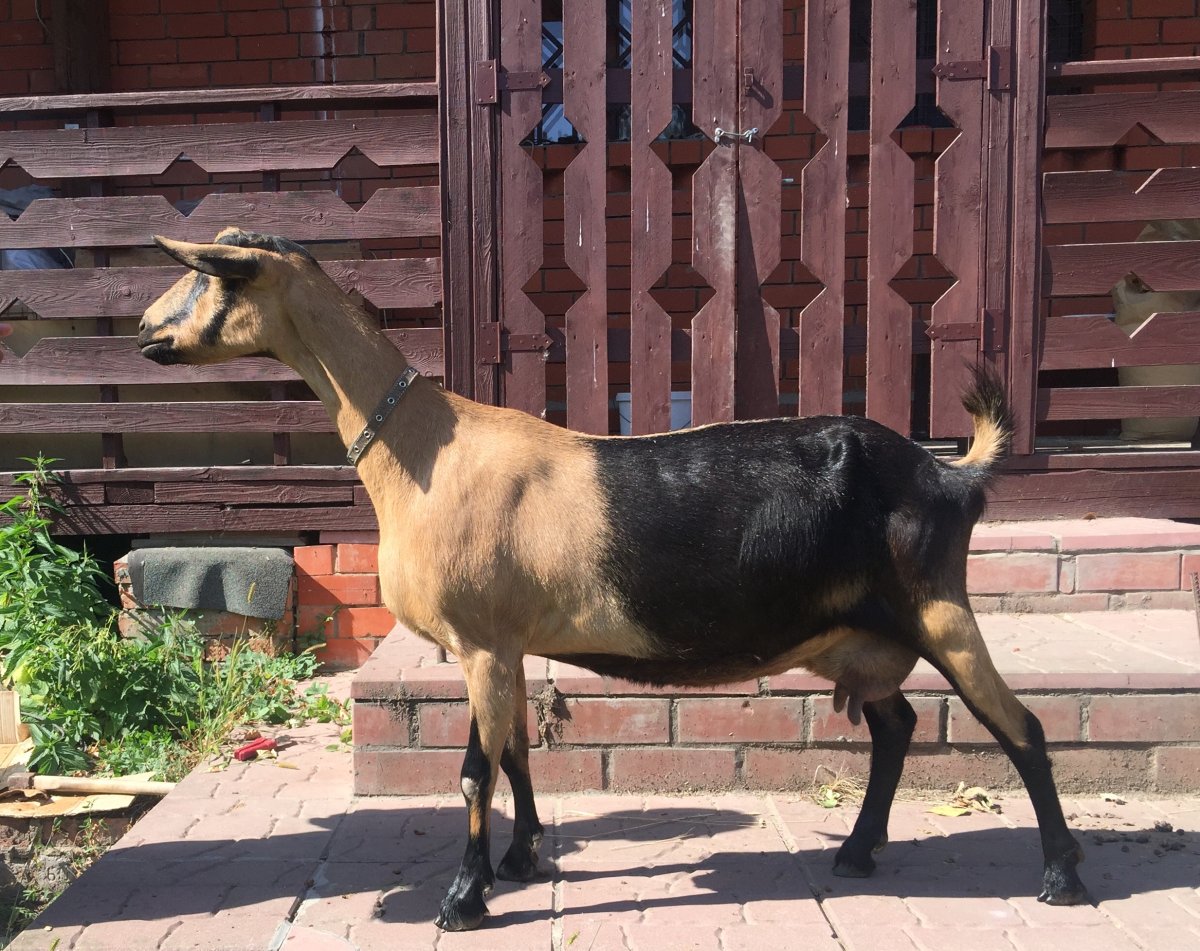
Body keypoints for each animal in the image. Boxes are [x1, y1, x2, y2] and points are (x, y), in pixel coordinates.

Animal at [139, 228, 1089, 931]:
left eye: (212, 277)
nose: (145, 332)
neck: (424, 451)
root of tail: (950, 473)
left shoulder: (481, 642)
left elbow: (474, 772)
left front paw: (464, 898)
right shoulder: (506, 646)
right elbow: (517, 751)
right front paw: (521, 858)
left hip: (940, 608)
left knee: (1022, 728)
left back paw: (1062, 878)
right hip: (861, 632)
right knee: (895, 727)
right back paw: (857, 851)